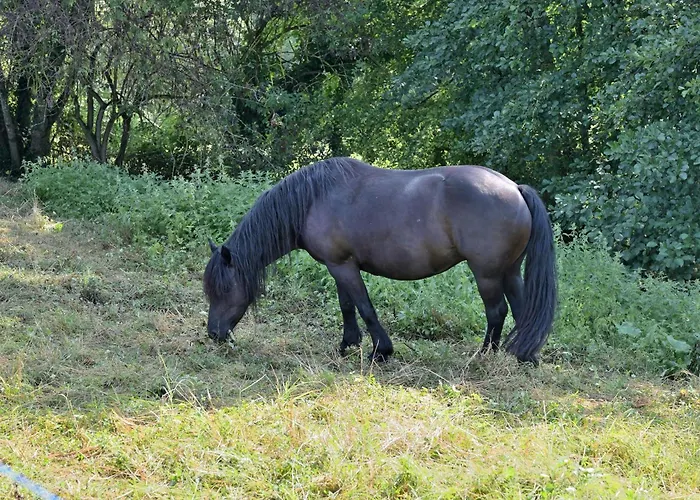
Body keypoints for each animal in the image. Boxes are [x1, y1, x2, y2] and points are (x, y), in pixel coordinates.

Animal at [203, 157, 557, 364]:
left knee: (497, 313)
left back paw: (484, 355)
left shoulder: (343, 266)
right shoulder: (338, 265)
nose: (214, 335)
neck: (313, 199)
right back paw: (524, 356)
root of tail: (514, 188)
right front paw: (348, 345)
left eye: (224, 290)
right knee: (523, 312)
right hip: (509, 271)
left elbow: (364, 307)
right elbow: (347, 306)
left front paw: (380, 351)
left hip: (487, 273)